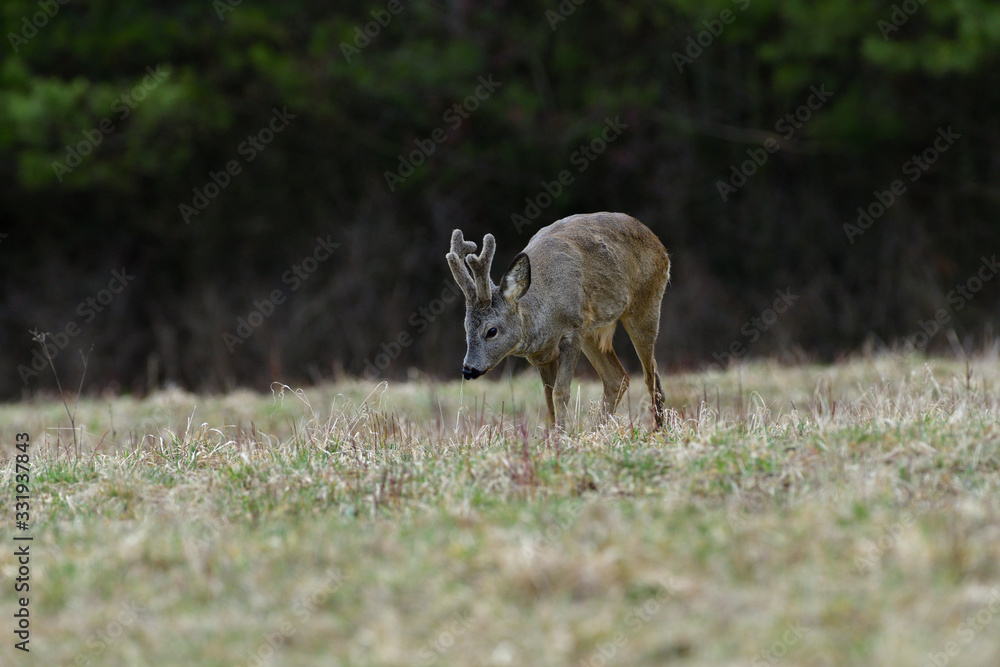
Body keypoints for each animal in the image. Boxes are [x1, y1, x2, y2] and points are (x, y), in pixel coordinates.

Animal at [446, 211, 670, 428]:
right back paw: (597, 430)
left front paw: (563, 434)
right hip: (592, 331)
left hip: (644, 306)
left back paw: (658, 429)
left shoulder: (573, 330)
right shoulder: (542, 354)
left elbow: (560, 393)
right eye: (466, 327)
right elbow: (548, 397)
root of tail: (659, 244)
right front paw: (556, 433)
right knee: (618, 378)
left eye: (491, 331)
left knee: (651, 376)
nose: (468, 369)